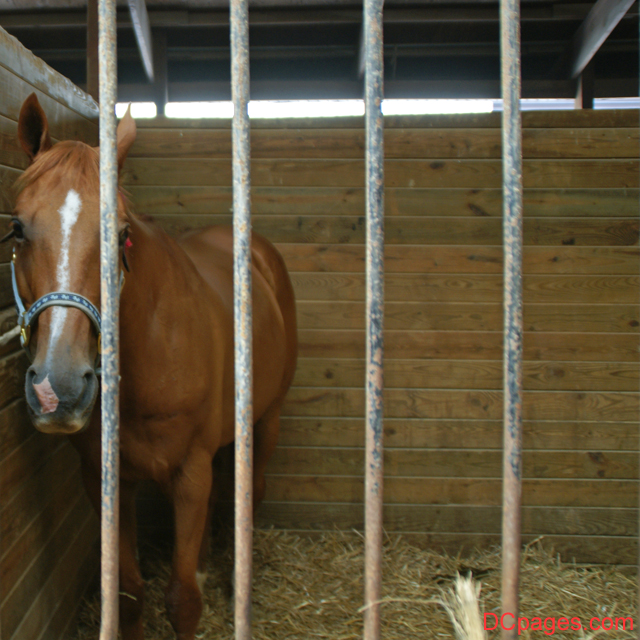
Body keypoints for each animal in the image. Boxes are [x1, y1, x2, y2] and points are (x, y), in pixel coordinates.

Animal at [8, 93, 297, 640]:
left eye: (121, 234)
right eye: (16, 228)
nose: (58, 389)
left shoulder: (189, 473)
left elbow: (182, 600)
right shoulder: (105, 480)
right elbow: (130, 593)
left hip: (266, 421)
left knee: (252, 491)